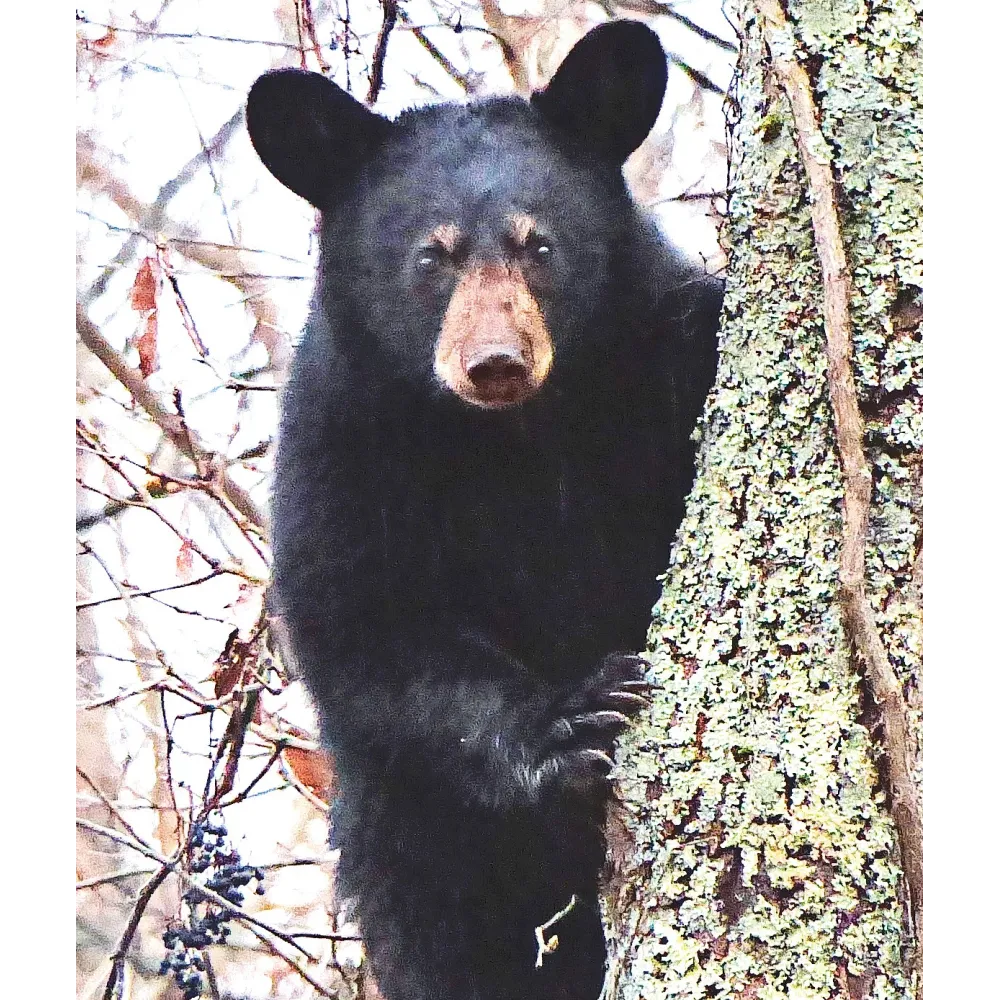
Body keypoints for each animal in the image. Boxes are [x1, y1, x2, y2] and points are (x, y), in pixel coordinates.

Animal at [247, 20, 721, 1000]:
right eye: (432, 257)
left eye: (539, 245)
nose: (495, 362)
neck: (513, 441)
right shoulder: (341, 452)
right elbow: (372, 636)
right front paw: (576, 718)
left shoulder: (661, 359)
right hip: (407, 846)